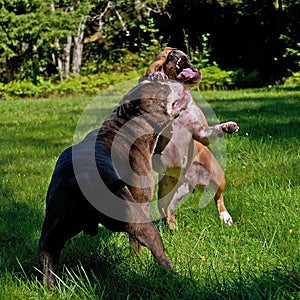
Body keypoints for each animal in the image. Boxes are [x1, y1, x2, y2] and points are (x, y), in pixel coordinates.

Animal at [38, 79, 191, 286]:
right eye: (160, 87)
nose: (171, 80)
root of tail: (81, 178)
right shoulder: (141, 204)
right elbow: (135, 243)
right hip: (138, 220)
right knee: (157, 251)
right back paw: (178, 276)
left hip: (53, 230)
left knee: (47, 256)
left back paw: (51, 286)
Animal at [141, 48, 239, 229]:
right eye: (161, 62)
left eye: (169, 50)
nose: (172, 53)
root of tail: (193, 183)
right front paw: (157, 76)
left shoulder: (202, 133)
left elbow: (210, 131)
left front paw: (227, 126)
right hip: (167, 192)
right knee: (167, 210)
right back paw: (173, 228)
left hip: (218, 177)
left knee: (218, 197)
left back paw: (225, 217)